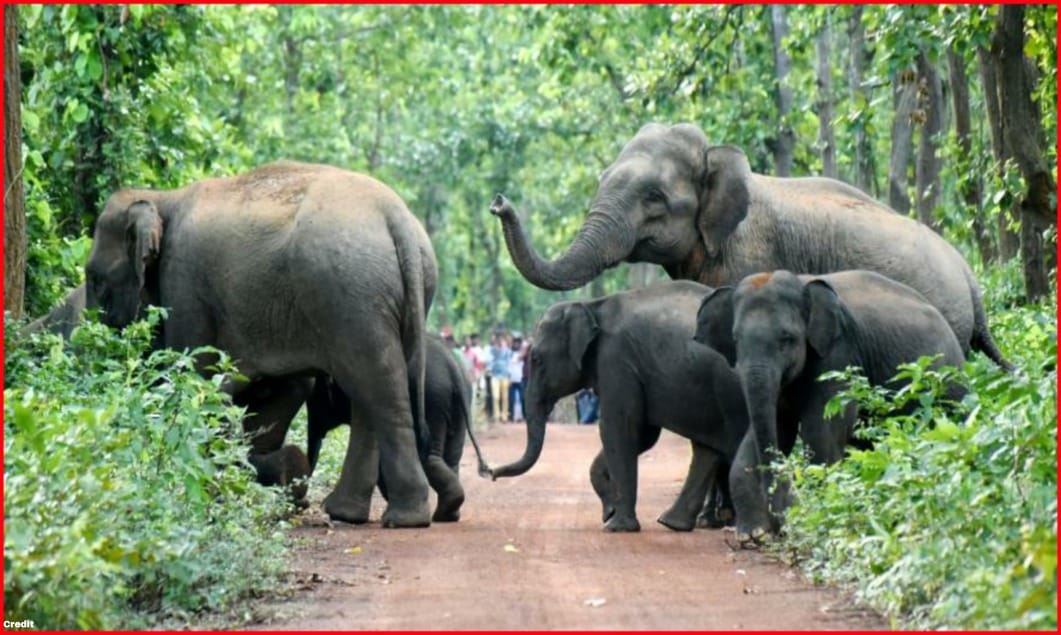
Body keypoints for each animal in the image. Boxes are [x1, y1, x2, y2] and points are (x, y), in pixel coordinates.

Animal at [83, 161, 438, 528]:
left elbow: (195, 372)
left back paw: (403, 518)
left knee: (377, 388)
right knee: (369, 394)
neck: (163, 198)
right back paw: (345, 511)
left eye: (94, 278)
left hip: (349, 294)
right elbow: (284, 388)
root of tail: (397, 218)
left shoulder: (183, 283)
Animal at [486, 280, 748, 533]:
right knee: (707, 449)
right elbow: (643, 435)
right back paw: (673, 523)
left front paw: (616, 526)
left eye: (536, 359)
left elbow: (619, 427)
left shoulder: (616, 360)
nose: (491, 474)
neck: (591, 306)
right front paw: (610, 512)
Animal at [695, 269, 967, 545]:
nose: (779, 528)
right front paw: (753, 534)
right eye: (736, 339)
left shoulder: (839, 353)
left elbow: (820, 433)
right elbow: (775, 429)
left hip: (945, 387)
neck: (801, 283)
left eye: (787, 339)